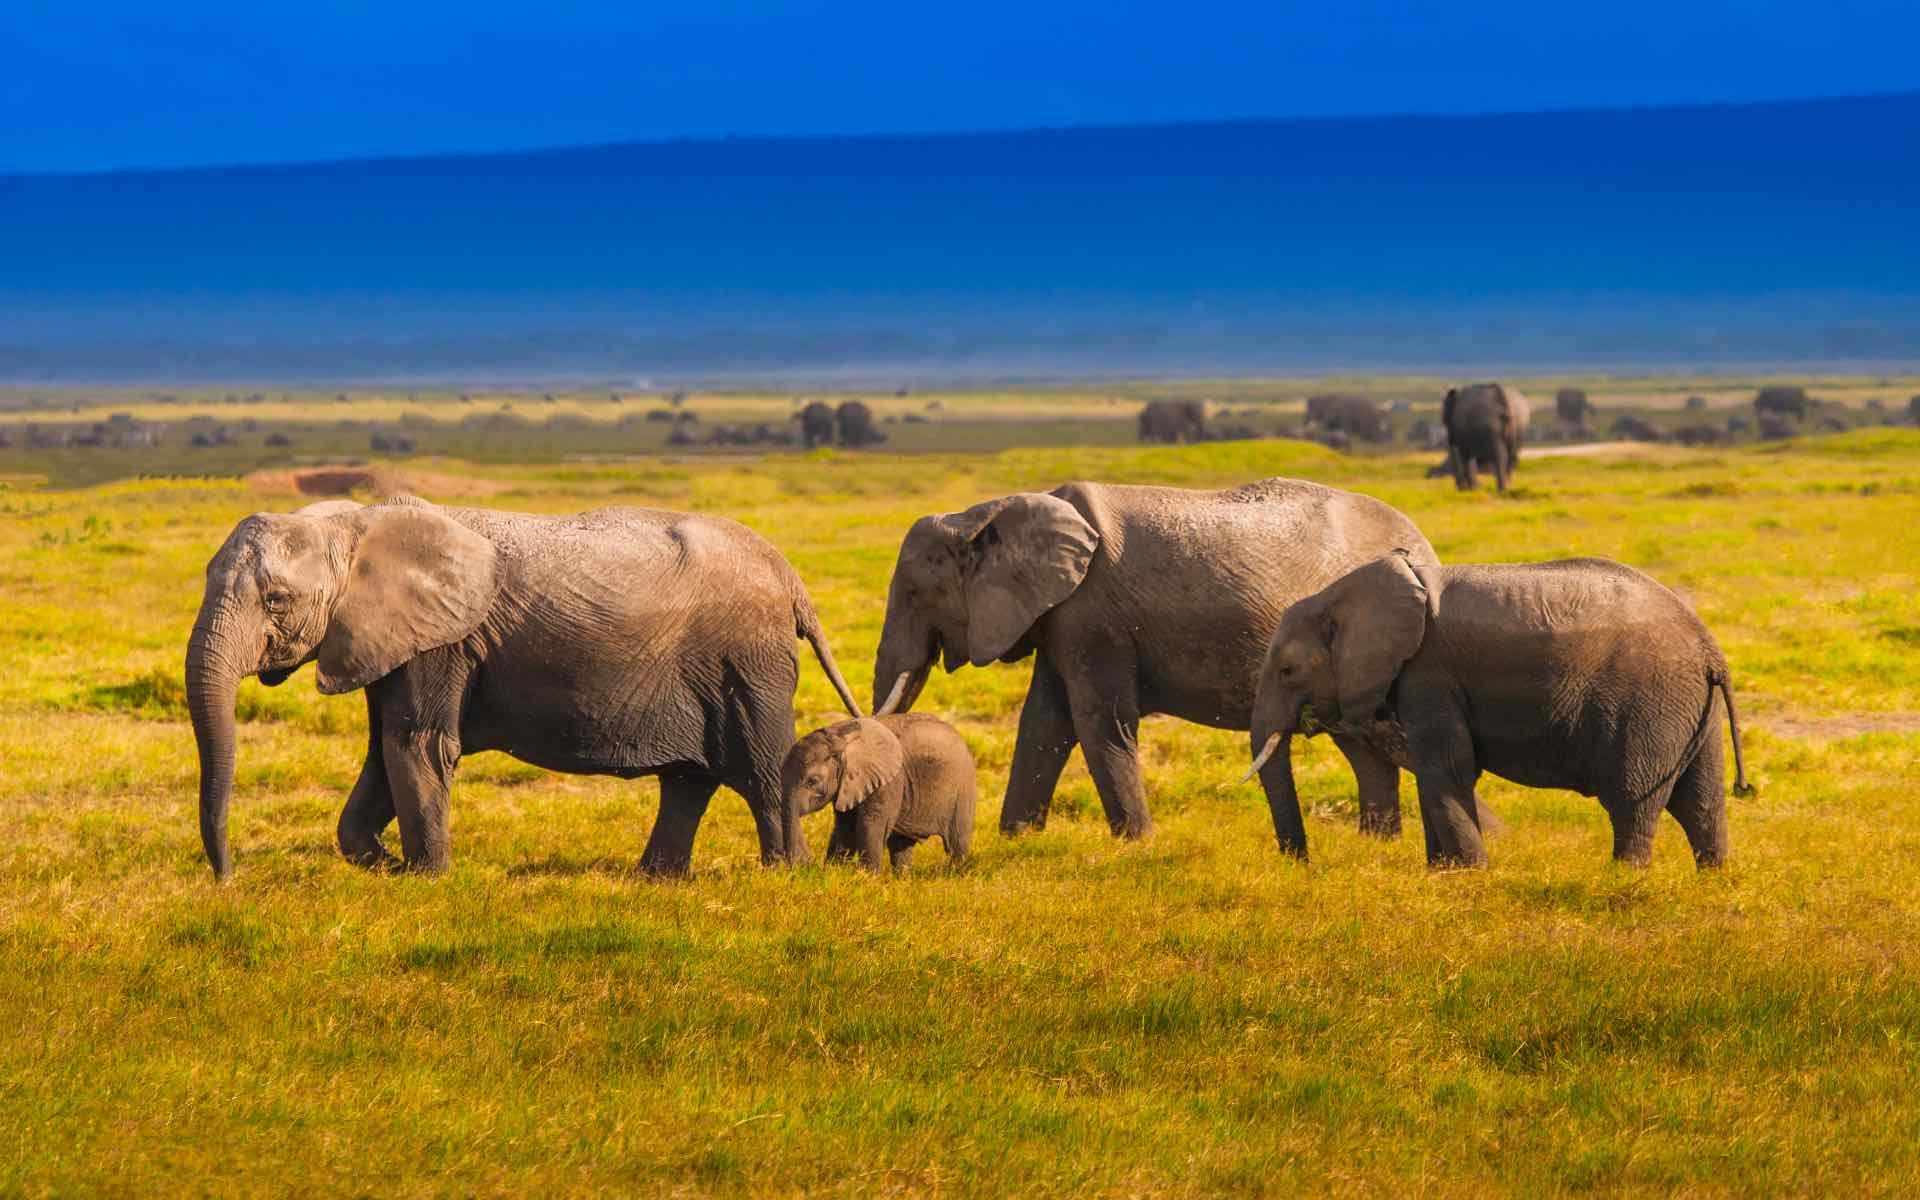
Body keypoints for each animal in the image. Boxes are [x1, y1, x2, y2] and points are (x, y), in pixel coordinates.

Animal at [185, 495, 863, 880]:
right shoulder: (387, 637)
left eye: (276, 601)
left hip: (748, 661)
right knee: (689, 779)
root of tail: (790, 577)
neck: (354, 525)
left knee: (760, 770)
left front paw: (428, 879)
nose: (227, 880)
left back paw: (787, 876)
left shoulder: (442, 640)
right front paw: (383, 865)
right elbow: (384, 752)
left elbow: (417, 746)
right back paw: (655, 881)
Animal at [781, 713, 976, 873]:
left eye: (812, 781)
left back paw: (954, 876)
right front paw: (834, 872)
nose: (806, 863)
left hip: (963, 788)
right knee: (901, 846)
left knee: (957, 844)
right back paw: (903, 879)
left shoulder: (888, 781)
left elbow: (870, 824)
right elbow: (845, 826)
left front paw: (865, 878)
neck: (841, 736)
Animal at [870, 478, 1438, 855]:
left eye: (915, 594)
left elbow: (1098, 722)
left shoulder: (1093, 614)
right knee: (1363, 746)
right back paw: (1378, 848)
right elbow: (1044, 724)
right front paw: (1017, 841)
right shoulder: (1060, 618)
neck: (987, 513)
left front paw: (1137, 847)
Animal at [1248, 553, 1750, 869]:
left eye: (1288, 670)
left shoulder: (1429, 673)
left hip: (1650, 705)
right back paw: (1713, 881)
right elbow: (1435, 770)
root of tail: (1710, 650)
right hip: (1688, 709)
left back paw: (1622, 880)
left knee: (1634, 801)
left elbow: (1447, 766)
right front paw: (1441, 875)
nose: (1304, 865)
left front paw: (1469, 876)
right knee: (1701, 801)